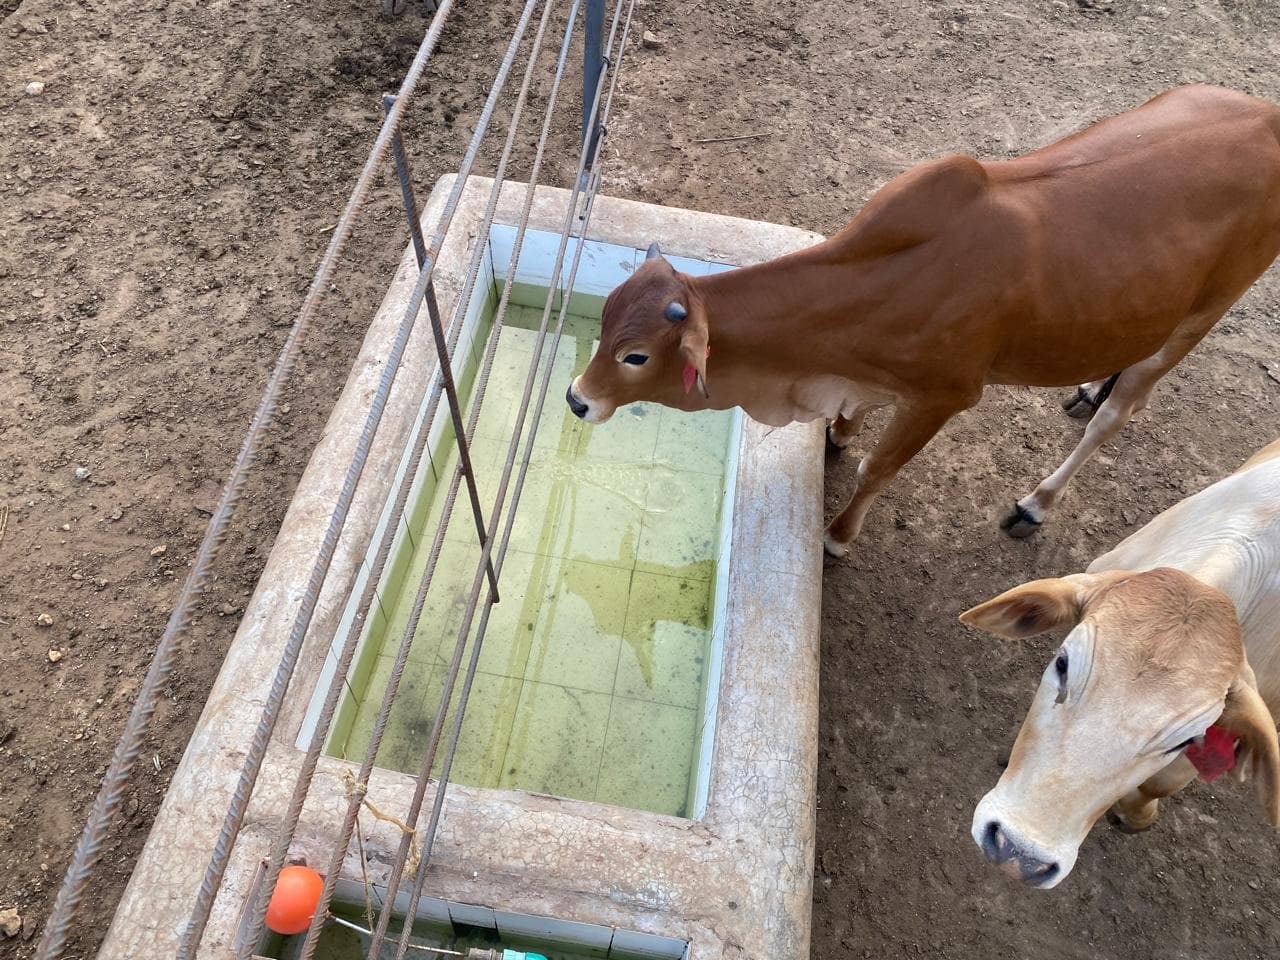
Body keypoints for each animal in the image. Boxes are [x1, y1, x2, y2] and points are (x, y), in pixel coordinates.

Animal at [564, 85, 1280, 557]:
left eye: (635, 356)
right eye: (602, 325)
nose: (575, 398)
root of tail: (1266, 115)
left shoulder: (946, 396)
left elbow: (876, 471)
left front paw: (838, 536)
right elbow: (854, 424)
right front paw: (839, 432)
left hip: (1200, 317)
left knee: (1122, 411)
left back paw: (1037, 501)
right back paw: (1086, 388)